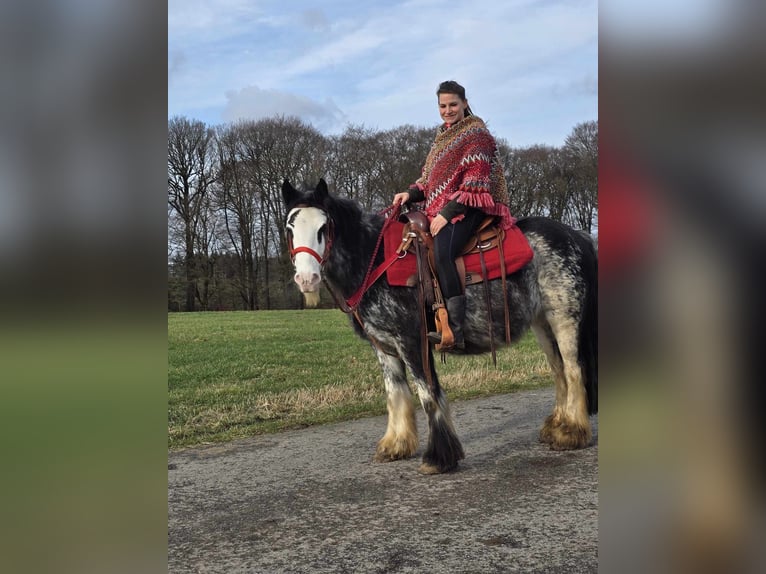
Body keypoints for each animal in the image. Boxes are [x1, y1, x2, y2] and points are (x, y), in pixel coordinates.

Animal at [284, 180, 600, 476]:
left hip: (564, 318)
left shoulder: (412, 342)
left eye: (323, 227)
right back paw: (557, 427)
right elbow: (395, 393)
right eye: (290, 228)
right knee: (558, 370)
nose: (307, 279)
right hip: (542, 323)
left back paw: (572, 433)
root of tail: (577, 235)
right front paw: (395, 445)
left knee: (574, 369)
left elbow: (428, 395)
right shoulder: (384, 347)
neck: (375, 262)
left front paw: (439, 458)